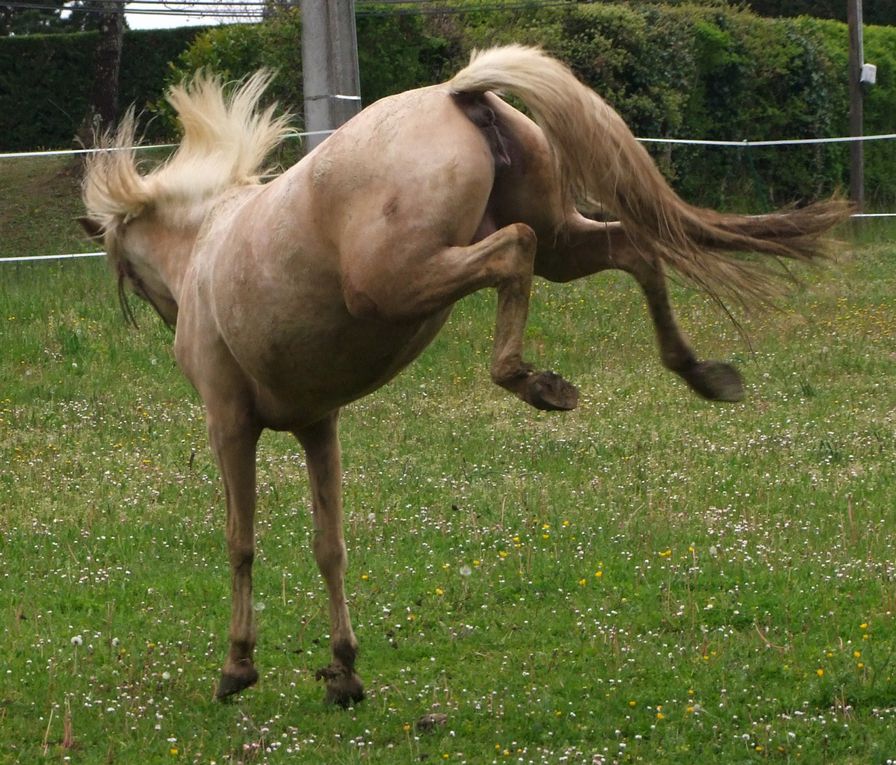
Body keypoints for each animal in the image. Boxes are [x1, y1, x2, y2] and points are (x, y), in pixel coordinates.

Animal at [80, 46, 852, 704]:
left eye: (126, 272)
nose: (171, 314)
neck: (208, 246)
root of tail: (458, 93)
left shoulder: (230, 423)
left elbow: (241, 543)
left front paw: (238, 667)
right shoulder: (317, 425)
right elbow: (330, 546)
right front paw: (343, 672)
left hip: (403, 280)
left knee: (517, 252)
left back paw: (537, 382)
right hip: (561, 242)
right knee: (633, 247)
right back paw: (701, 373)